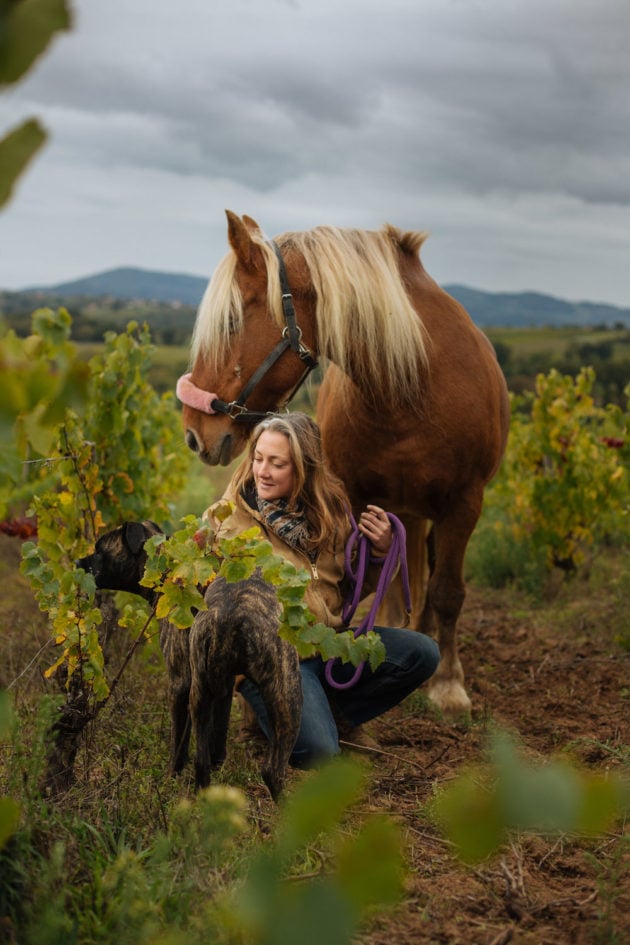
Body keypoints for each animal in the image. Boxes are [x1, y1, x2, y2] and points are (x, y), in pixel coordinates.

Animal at [76, 520, 304, 800]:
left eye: (99, 551)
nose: (77, 562)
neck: (168, 570)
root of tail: (234, 615)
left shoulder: (179, 684)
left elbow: (179, 742)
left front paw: (170, 777)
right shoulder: (220, 687)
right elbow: (216, 737)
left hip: (285, 696)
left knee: (267, 769)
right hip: (234, 694)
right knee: (209, 761)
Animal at [175, 210, 512, 712]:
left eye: (233, 319)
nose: (195, 432)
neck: (412, 387)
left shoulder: (464, 504)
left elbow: (448, 592)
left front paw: (449, 684)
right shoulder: (352, 497)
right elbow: (355, 583)